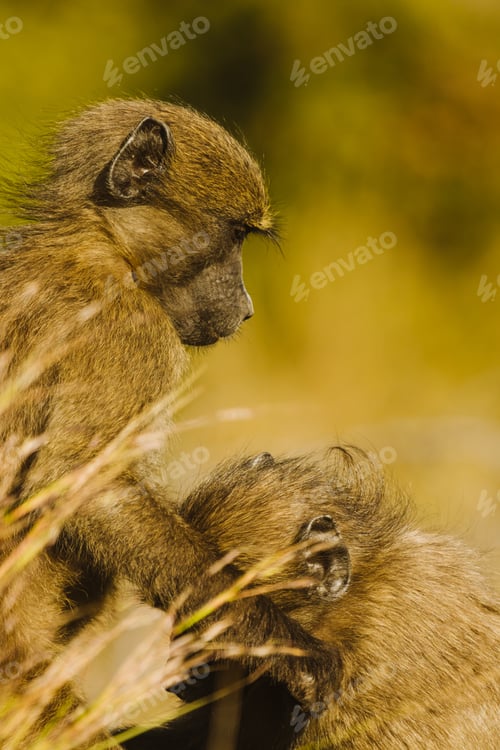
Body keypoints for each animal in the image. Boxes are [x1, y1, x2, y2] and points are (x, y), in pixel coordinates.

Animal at [0, 99, 339, 747]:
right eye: (234, 235)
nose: (246, 308)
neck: (104, 242)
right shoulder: (130, 329)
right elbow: (84, 483)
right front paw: (289, 647)